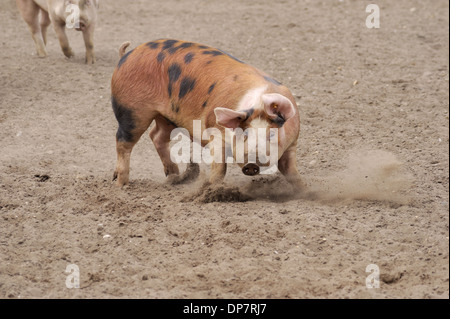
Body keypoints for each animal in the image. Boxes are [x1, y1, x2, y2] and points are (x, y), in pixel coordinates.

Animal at [110, 39, 304, 190]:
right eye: (244, 133)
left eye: (271, 134)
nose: (252, 163)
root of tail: (126, 56)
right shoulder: (215, 133)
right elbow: (219, 168)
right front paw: (211, 189)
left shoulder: (292, 143)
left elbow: (291, 171)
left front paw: (303, 190)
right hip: (132, 110)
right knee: (123, 141)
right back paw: (121, 184)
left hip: (167, 117)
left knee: (156, 136)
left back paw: (173, 176)